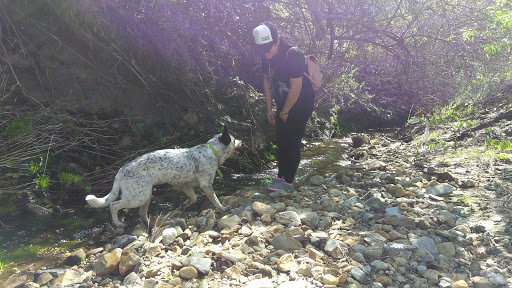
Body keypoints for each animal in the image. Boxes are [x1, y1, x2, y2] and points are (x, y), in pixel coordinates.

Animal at [86, 129, 242, 227]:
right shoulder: (206, 185)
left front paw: (183, 206)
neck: (212, 150)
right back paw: (118, 223)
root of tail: (121, 170)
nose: (242, 141)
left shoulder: (185, 186)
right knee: (114, 205)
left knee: (141, 213)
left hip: (146, 195)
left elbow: (193, 198)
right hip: (137, 197)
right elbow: (216, 201)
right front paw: (223, 208)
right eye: (235, 140)